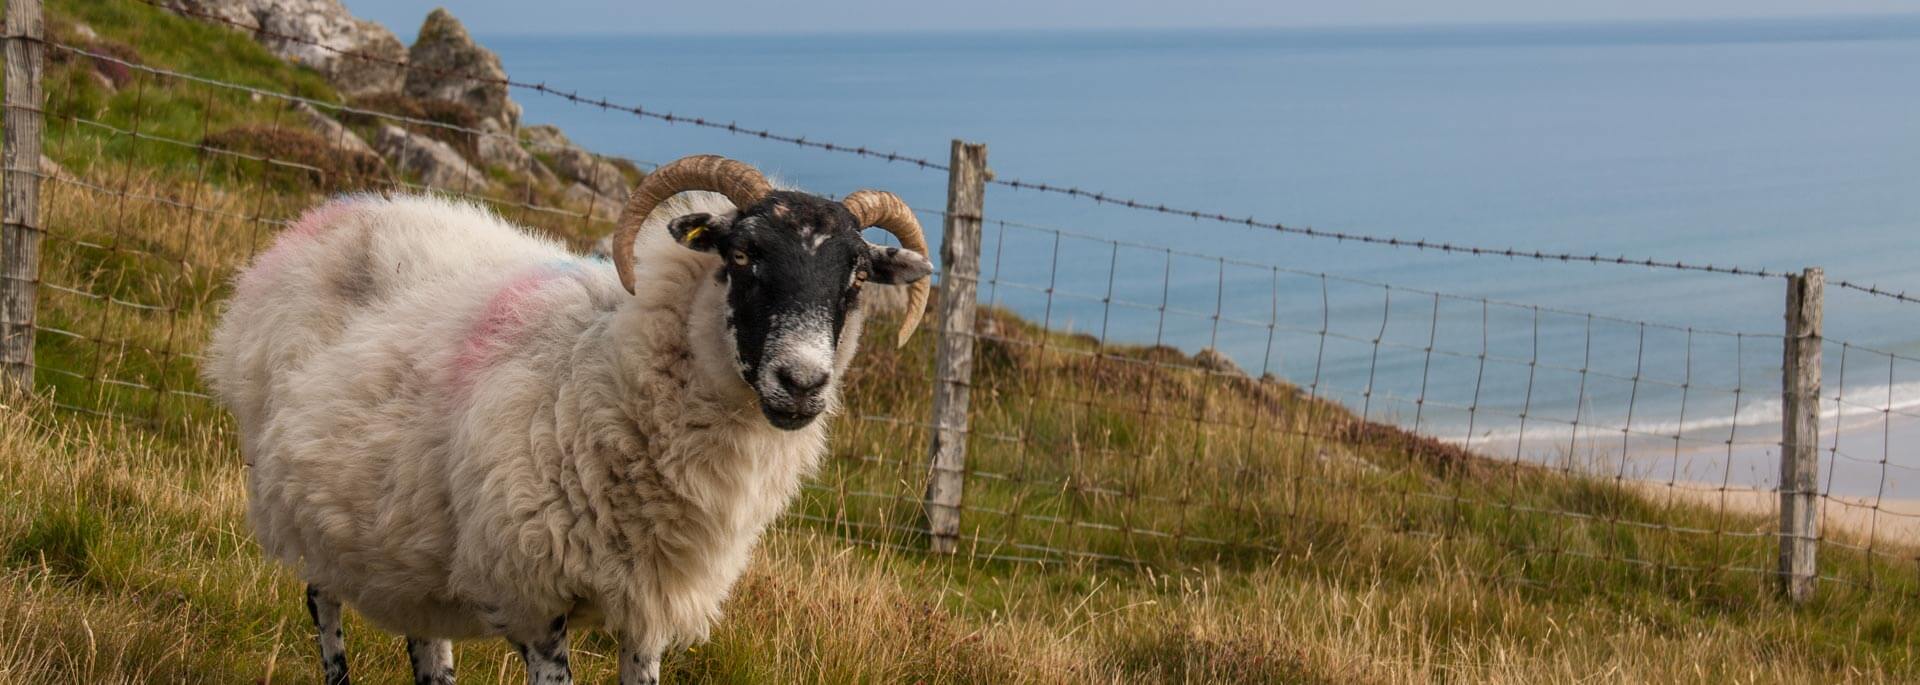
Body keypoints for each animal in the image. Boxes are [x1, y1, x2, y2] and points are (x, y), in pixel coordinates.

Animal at [202, 156, 936, 683]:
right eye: (741, 255)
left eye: (857, 277)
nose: (802, 382)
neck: (600, 363)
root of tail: (337, 212)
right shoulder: (534, 597)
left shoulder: (648, 610)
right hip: (301, 500)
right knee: (324, 610)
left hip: (405, 525)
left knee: (426, 639)